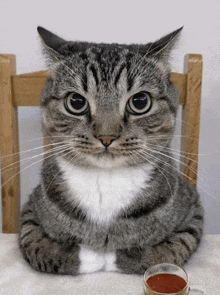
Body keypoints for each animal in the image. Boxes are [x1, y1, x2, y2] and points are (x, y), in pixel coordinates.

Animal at [18, 26, 205, 276]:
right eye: (76, 102)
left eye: (140, 101)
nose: (106, 136)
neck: (106, 181)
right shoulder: (31, 208)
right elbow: (36, 243)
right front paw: (91, 256)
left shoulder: (193, 209)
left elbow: (170, 249)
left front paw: (121, 257)